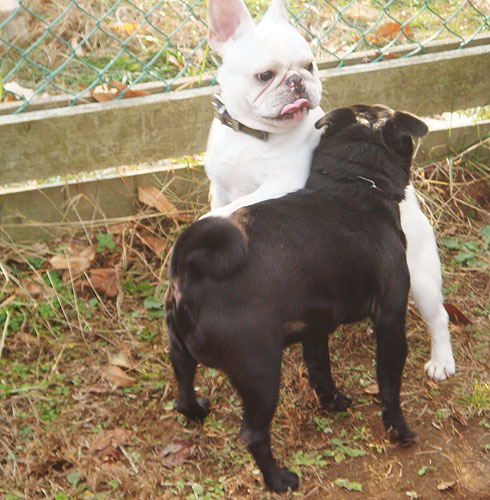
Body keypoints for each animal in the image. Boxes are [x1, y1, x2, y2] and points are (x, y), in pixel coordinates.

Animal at [166, 105, 425, 492]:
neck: (354, 186)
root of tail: (191, 269)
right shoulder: (391, 320)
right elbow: (390, 385)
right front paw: (400, 430)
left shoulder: (316, 326)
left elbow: (320, 369)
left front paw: (333, 401)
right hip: (261, 372)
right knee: (253, 433)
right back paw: (278, 479)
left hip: (180, 350)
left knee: (183, 387)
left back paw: (196, 409)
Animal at [203, 0, 455, 382]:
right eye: (265, 75)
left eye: (309, 65)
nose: (298, 81)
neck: (252, 134)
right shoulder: (220, 186)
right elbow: (225, 202)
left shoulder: (283, 182)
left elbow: (241, 203)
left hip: (423, 275)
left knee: (438, 316)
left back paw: (442, 360)